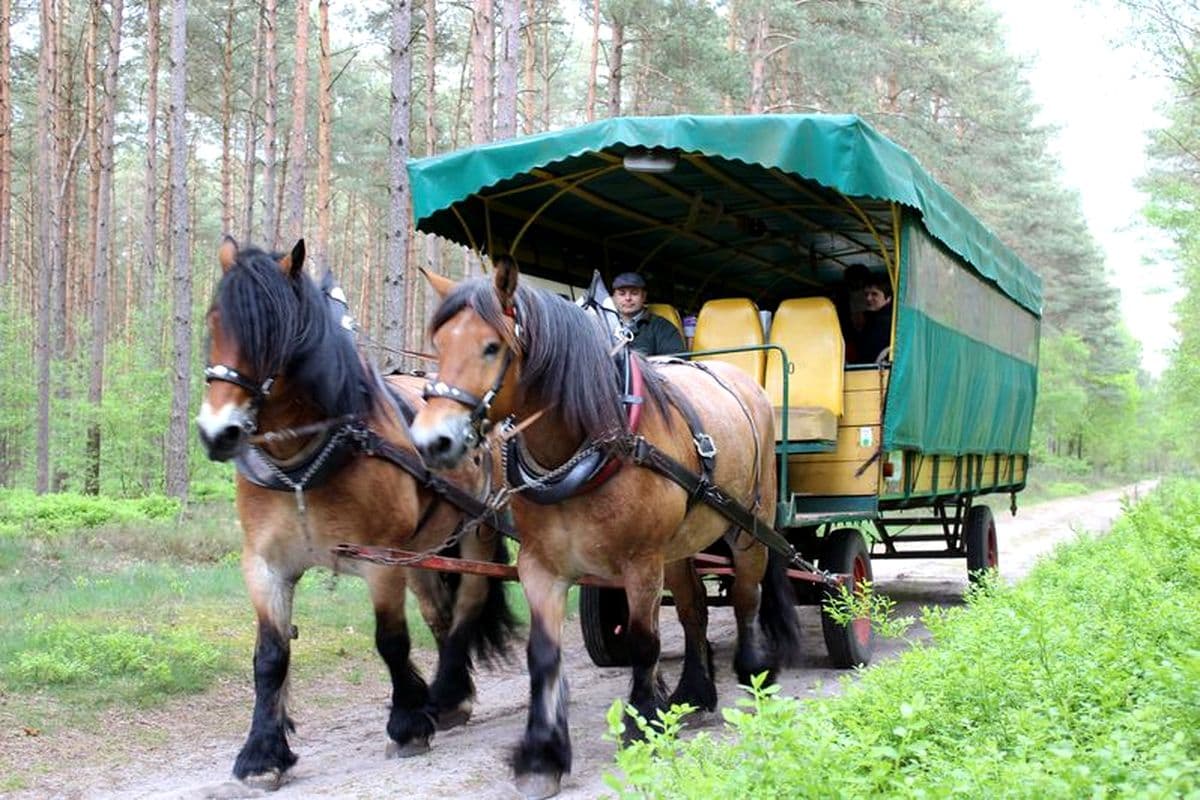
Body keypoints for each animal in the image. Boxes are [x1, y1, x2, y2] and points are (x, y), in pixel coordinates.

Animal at [194, 237, 518, 786]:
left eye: (272, 334)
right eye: (216, 323)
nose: (219, 432)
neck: (302, 467)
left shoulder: (380, 560)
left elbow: (390, 640)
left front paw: (408, 725)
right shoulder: (265, 566)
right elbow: (271, 656)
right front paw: (262, 753)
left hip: (476, 531)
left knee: (467, 606)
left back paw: (445, 695)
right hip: (425, 549)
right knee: (439, 612)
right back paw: (450, 698)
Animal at [408, 257, 801, 800]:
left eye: (491, 346)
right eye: (439, 345)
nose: (433, 441)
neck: (586, 444)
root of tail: (744, 382)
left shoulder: (640, 562)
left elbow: (643, 641)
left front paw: (641, 725)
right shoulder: (541, 566)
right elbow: (542, 655)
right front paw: (542, 754)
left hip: (748, 528)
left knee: (746, 597)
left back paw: (753, 676)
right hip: (680, 546)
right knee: (694, 611)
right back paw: (695, 692)